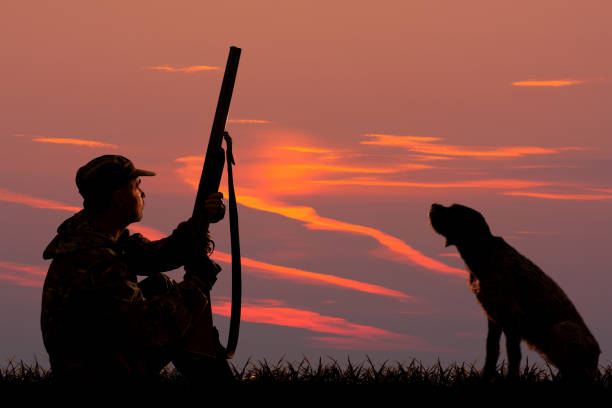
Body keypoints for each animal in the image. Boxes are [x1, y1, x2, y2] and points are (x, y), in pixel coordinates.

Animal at [428, 202, 600, 380]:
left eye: (453, 210)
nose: (433, 205)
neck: (485, 252)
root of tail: (596, 359)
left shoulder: (511, 316)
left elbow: (513, 354)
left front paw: (511, 377)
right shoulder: (494, 316)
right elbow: (491, 349)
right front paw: (486, 375)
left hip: (562, 329)